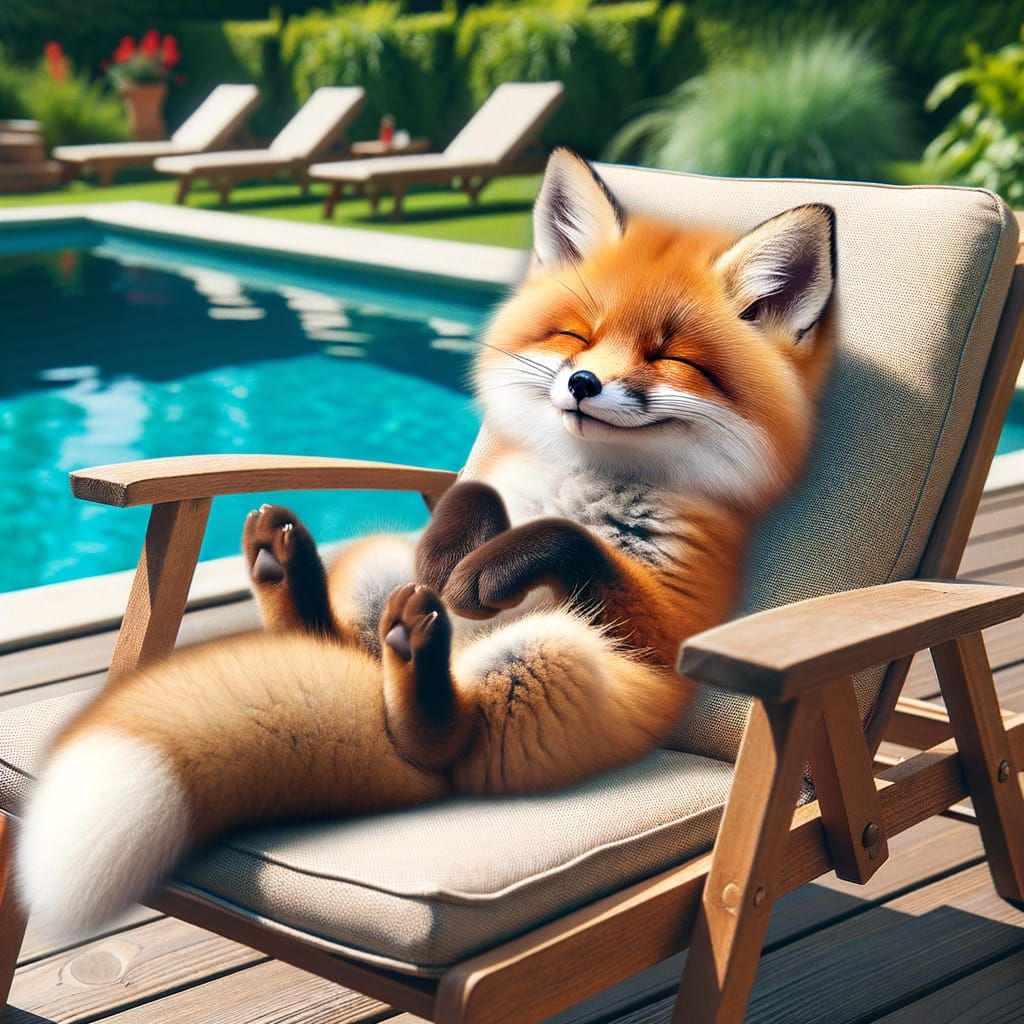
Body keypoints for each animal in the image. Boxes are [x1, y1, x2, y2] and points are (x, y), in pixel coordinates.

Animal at [16, 149, 836, 939]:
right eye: (577, 335)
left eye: (671, 357)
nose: (581, 383)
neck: (581, 479)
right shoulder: (485, 491)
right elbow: (475, 494)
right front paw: (455, 553)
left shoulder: (670, 626)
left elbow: (567, 538)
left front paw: (484, 572)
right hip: (381, 571)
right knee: (339, 641)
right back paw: (294, 574)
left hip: (551, 656)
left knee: (441, 750)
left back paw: (419, 657)